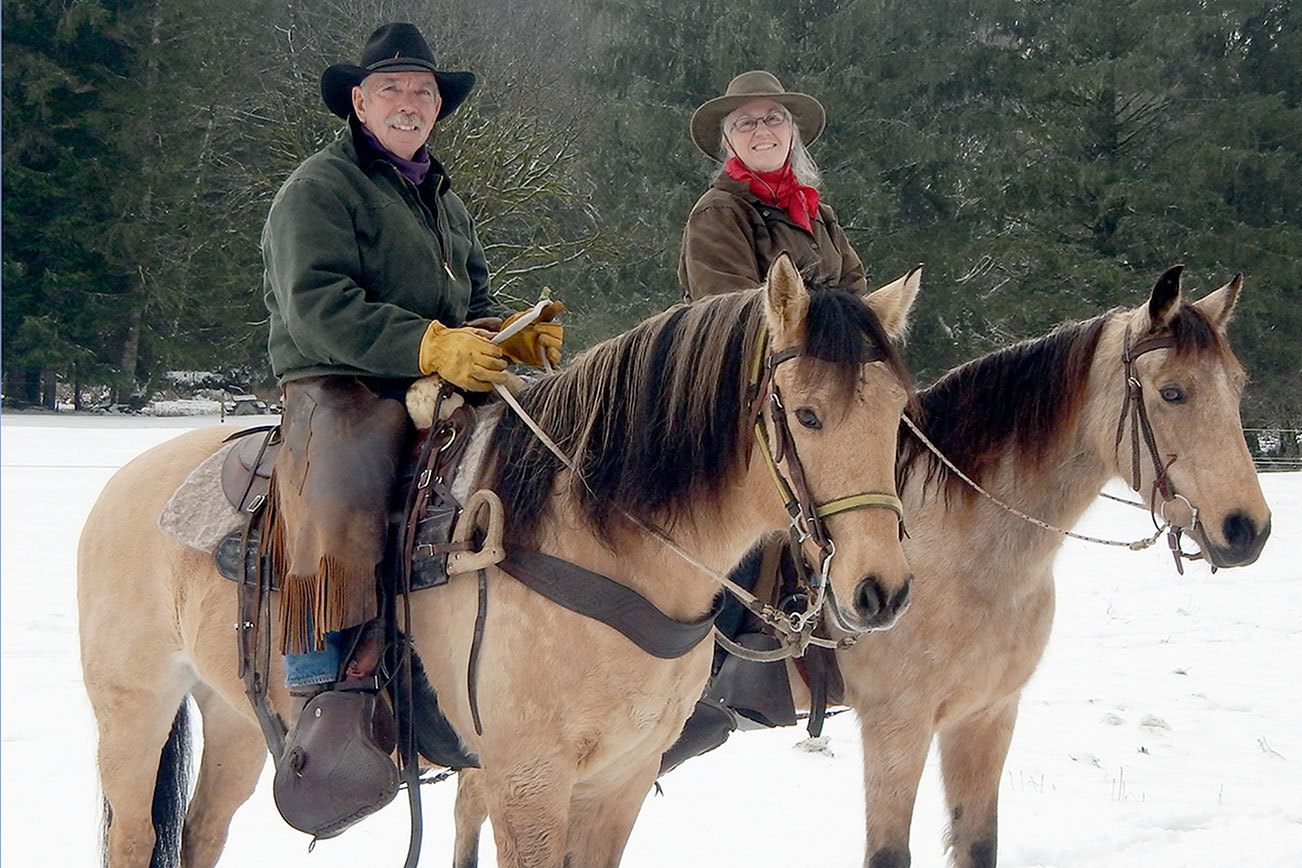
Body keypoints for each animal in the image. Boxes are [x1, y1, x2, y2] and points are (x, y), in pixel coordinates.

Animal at [76, 257, 921, 868]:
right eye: (806, 414)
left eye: (898, 415)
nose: (880, 591)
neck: (602, 542)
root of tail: (125, 483)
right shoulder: (527, 781)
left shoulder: (619, 780)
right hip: (134, 710)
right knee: (134, 839)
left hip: (234, 716)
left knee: (201, 833)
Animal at [796, 266, 1265, 868]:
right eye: (1173, 392)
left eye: (1237, 385)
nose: (1248, 529)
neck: (960, 560)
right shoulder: (896, 726)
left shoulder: (987, 716)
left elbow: (978, 843)